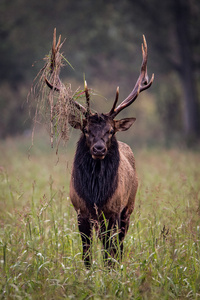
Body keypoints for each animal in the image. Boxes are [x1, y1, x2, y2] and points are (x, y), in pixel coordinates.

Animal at [45, 28, 154, 268]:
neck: (95, 194)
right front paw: (88, 273)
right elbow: (86, 253)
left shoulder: (112, 211)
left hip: (129, 208)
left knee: (119, 244)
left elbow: (108, 251)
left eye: (110, 131)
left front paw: (109, 272)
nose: (98, 149)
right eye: (86, 130)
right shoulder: (80, 211)